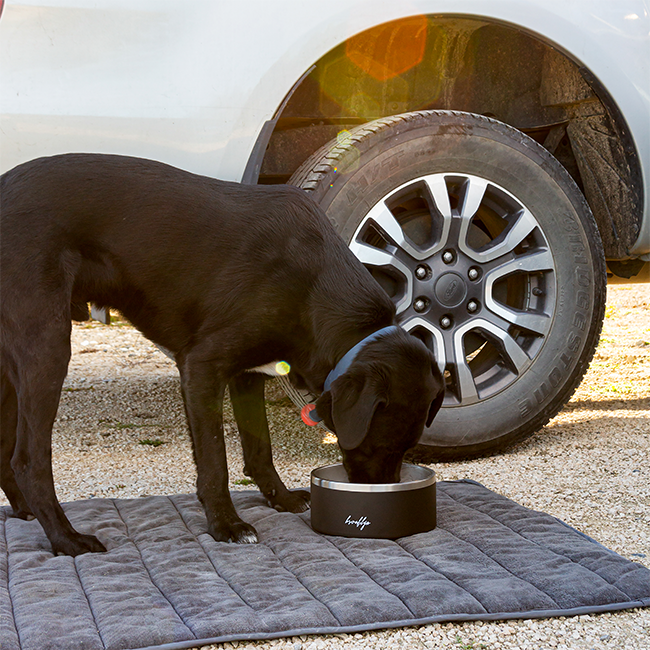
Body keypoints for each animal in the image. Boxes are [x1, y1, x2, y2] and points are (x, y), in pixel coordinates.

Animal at [0, 154, 442, 556]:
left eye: (406, 449)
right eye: (381, 444)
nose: (376, 501)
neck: (314, 284)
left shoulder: (249, 374)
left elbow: (259, 448)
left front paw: (280, 499)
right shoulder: (201, 368)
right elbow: (215, 460)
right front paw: (226, 525)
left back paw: (24, 512)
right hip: (48, 346)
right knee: (29, 460)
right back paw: (65, 539)